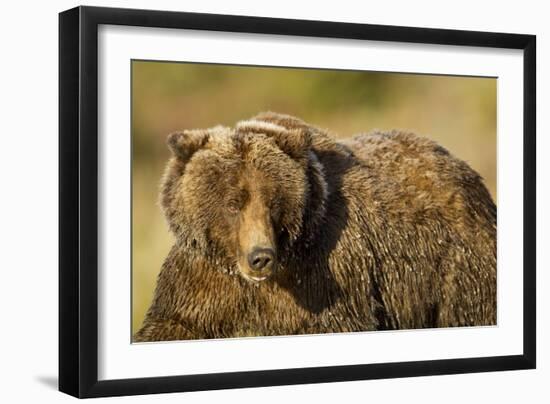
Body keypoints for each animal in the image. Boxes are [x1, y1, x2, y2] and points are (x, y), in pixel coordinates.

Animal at [135, 110, 500, 340]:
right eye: (232, 203)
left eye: (273, 202)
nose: (260, 257)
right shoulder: (204, 275)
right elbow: (175, 322)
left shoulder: (325, 271)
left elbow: (335, 320)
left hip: (455, 265)